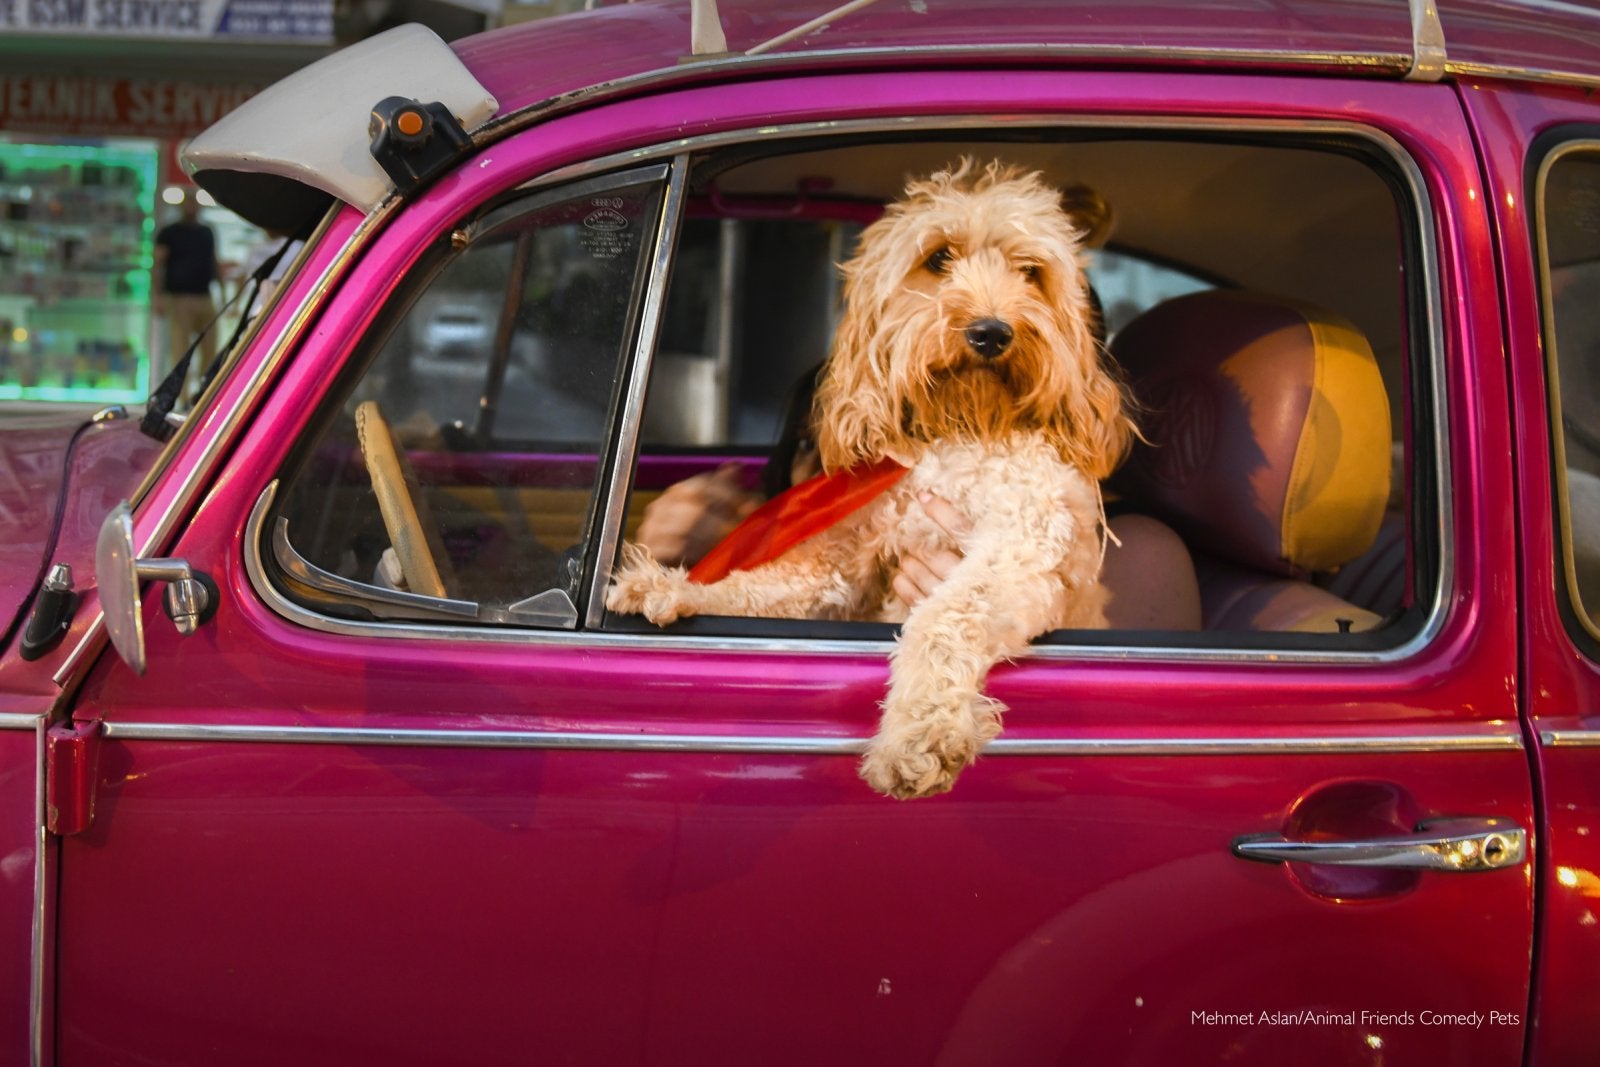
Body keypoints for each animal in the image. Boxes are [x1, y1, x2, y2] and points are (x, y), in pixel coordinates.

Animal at [604, 156, 1132, 793]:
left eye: (1031, 272)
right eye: (939, 258)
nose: (991, 332)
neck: (959, 432)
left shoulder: (1019, 552)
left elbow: (945, 618)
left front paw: (920, 736)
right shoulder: (847, 561)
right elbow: (765, 584)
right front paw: (673, 587)